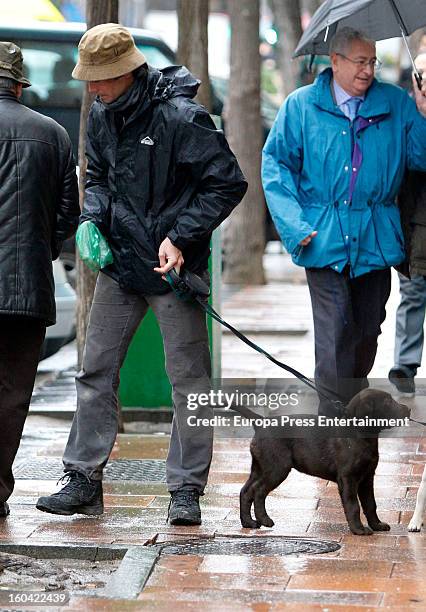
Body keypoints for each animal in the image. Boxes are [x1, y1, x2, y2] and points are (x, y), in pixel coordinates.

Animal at [240, 388, 410, 536]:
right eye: (387, 401)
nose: (408, 409)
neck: (361, 437)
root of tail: (261, 422)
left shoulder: (367, 477)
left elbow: (370, 504)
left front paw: (377, 525)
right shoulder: (348, 478)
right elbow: (353, 505)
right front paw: (358, 529)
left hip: (259, 467)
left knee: (246, 491)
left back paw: (248, 522)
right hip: (277, 468)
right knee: (258, 491)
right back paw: (264, 519)